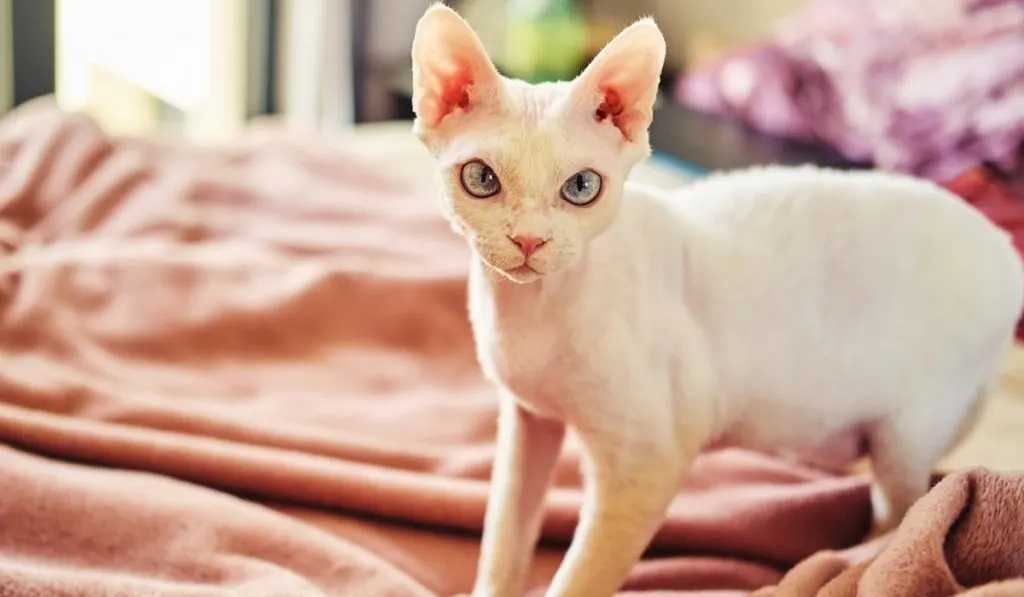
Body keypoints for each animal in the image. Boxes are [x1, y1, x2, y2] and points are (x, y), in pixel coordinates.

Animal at [409, 5, 1024, 597]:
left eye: (581, 187)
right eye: (481, 179)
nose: (529, 240)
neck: (534, 309)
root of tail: (1002, 245)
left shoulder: (646, 466)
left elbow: (580, 578)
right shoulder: (526, 421)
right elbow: (504, 536)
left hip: (907, 432)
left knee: (907, 515)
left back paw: (841, 559)